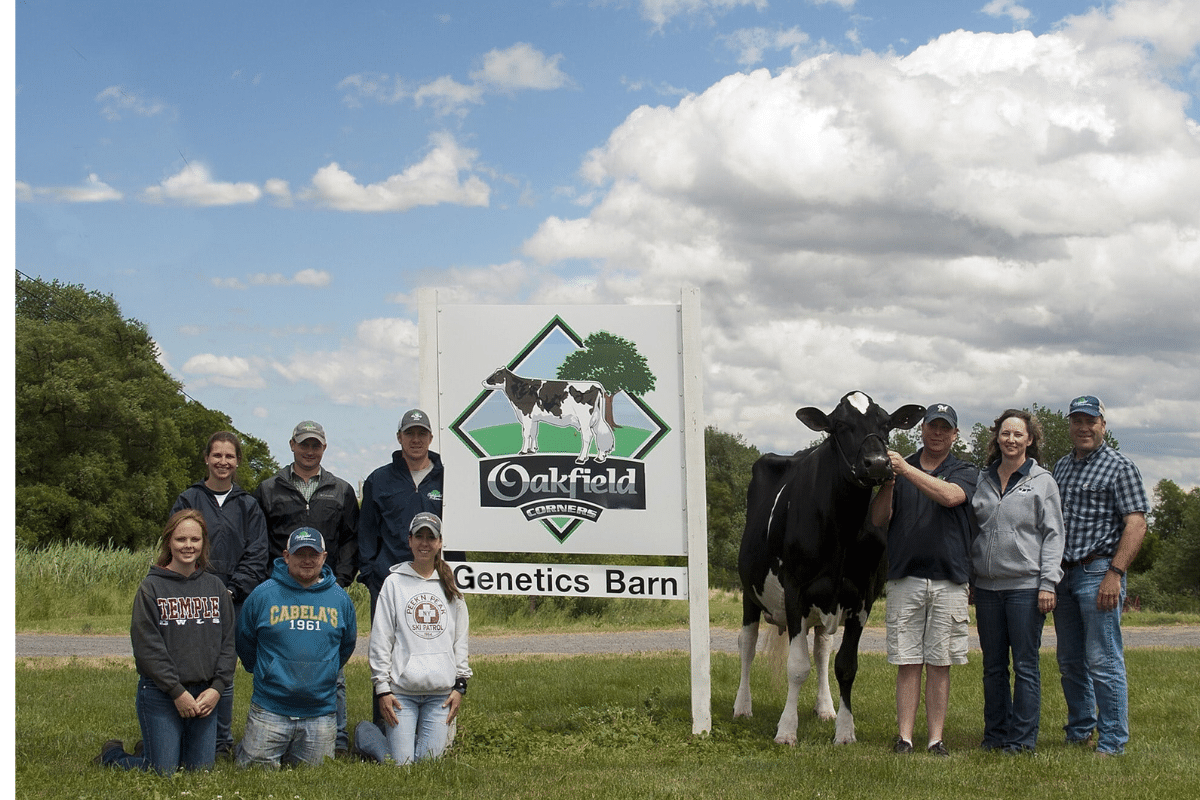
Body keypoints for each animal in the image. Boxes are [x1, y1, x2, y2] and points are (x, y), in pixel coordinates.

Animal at [480, 367, 614, 465]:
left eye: (497, 374)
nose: (483, 382)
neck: (520, 389)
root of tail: (597, 385)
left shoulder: (525, 415)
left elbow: (526, 434)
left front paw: (523, 451)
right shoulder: (533, 418)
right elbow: (533, 433)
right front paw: (532, 450)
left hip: (584, 419)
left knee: (588, 436)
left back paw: (581, 458)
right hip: (596, 418)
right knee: (600, 433)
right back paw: (600, 457)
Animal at [734, 391, 921, 748]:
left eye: (886, 423)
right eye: (839, 426)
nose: (878, 463)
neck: (843, 530)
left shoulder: (863, 598)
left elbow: (845, 666)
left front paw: (845, 732)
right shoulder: (795, 592)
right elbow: (796, 667)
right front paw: (786, 730)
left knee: (821, 651)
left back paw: (825, 708)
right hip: (750, 594)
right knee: (747, 646)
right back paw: (742, 707)